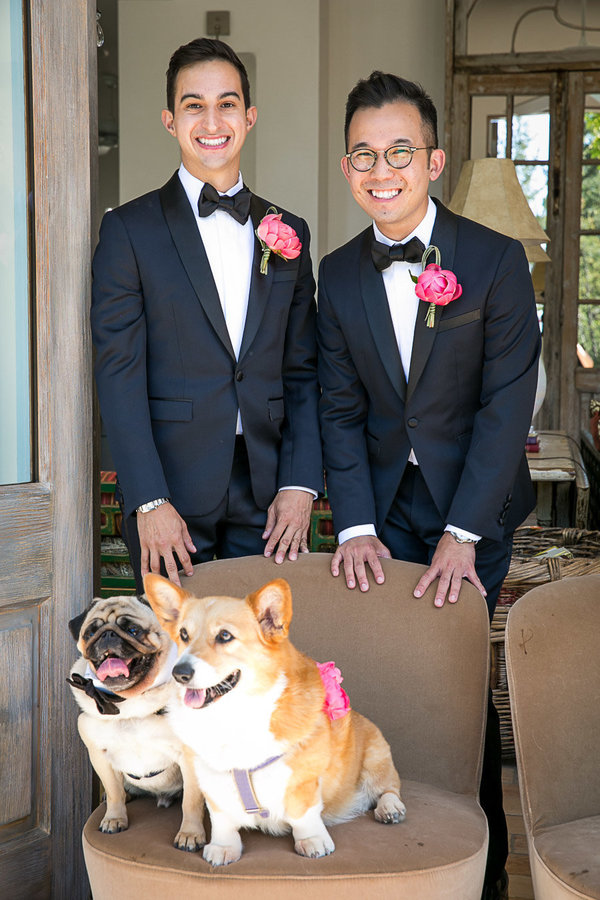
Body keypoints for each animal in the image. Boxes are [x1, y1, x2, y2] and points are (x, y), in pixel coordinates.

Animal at [68, 596, 206, 848]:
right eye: (90, 632)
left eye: (133, 630)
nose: (107, 635)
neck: (129, 702)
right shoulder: (99, 755)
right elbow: (114, 793)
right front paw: (114, 819)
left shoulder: (190, 758)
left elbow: (191, 802)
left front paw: (190, 834)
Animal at [144, 572, 408, 868]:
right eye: (183, 635)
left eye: (224, 636)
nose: (180, 673)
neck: (231, 719)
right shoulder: (210, 777)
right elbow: (221, 817)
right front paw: (223, 847)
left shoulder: (302, 780)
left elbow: (303, 814)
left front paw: (313, 841)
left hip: (376, 759)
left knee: (388, 789)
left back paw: (390, 808)